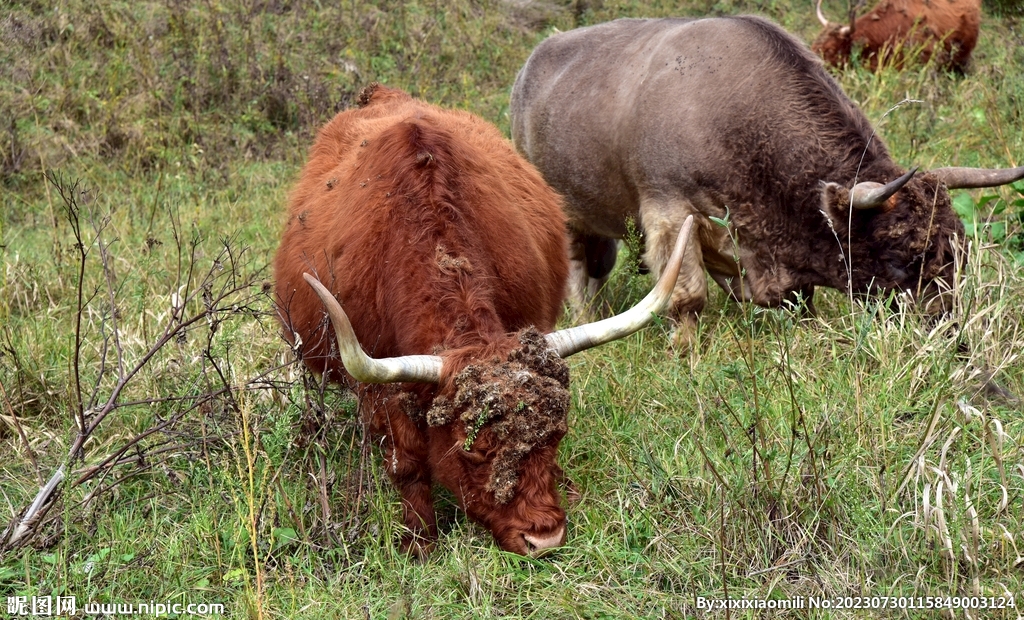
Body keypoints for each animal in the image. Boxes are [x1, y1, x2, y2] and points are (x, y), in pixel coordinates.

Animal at [272, 83, 692, 557]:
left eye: (557, 435)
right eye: (473, 450)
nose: (544, 538)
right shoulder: (378, 386)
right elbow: (407, 464)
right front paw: (420, 542)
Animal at [512, 14, 1024, 344]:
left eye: (958, 254)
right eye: (900, 259)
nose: (948, 334)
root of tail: (531, 66)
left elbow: (800, 302)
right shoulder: (669, 214)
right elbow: (686, 298)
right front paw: (687, 359)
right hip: (565, 214)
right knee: (579, 270)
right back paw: (584, 317)